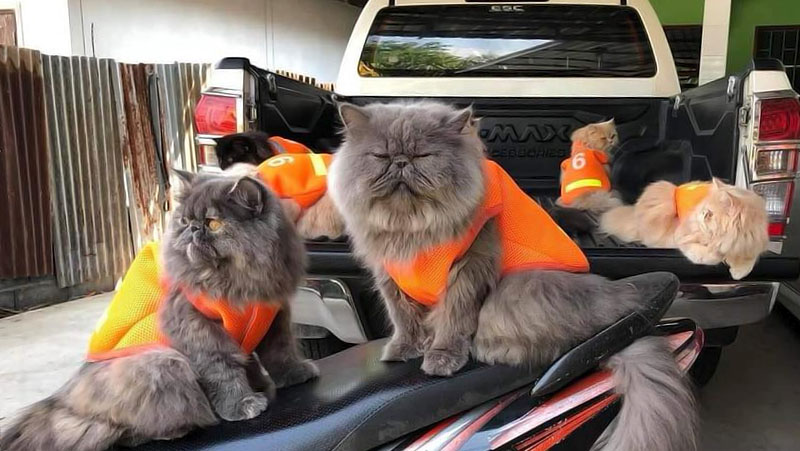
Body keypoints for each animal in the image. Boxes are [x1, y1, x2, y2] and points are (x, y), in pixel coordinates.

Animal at [1, 172, 318, 451]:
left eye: (213, 223)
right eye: (185, 221)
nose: (193, 229)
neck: (238, 281)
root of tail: (66, 400)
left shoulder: (274, 317)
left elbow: (279, 353)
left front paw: (292, 375)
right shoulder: (197, 327)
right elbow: (223, 370)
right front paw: (242, 404)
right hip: (162, 364)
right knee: (116, 427)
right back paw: (177, 429)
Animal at [328, 101, 696, 451]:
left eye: (423, 156)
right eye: (381, 156)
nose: (401, 162)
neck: (411, 226)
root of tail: (621, 312)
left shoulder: (468, 267)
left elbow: (453, 319)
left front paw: (442, 357)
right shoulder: (390, 276)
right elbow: (403, 318)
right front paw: (403, 349)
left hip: (517, 290)